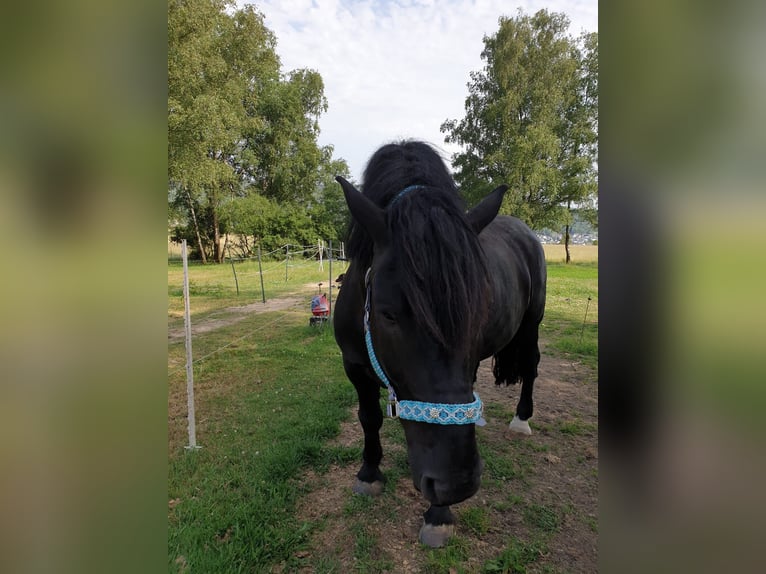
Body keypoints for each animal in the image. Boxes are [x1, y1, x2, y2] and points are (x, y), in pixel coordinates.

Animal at [333, 140, 547, 547]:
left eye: (481, 306)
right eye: (388, 314)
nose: (456, 484)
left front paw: (438, 515)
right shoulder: (353, 366)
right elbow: (368, 417)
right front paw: (369, 473)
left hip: (531, 325)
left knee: (530, 367)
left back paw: (522, 420)